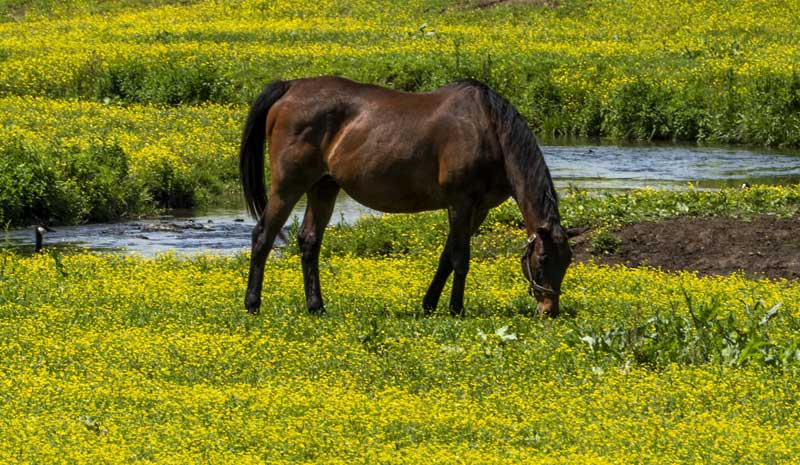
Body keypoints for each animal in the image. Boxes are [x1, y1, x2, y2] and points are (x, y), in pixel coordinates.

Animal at [241, 77, 580, 316]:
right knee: (263, 236)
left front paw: (429, 304)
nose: (550, 310)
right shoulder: (460, 203)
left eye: (567, 260)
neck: (488, 128)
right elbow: (461, 259)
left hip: (323, 186)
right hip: (288, 186)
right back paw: (252, 303)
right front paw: (456, 308)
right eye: (543, 258)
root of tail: (289, 87)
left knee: (309, 241)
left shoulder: (478, 209)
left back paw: (316, 306)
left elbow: (446, 256)